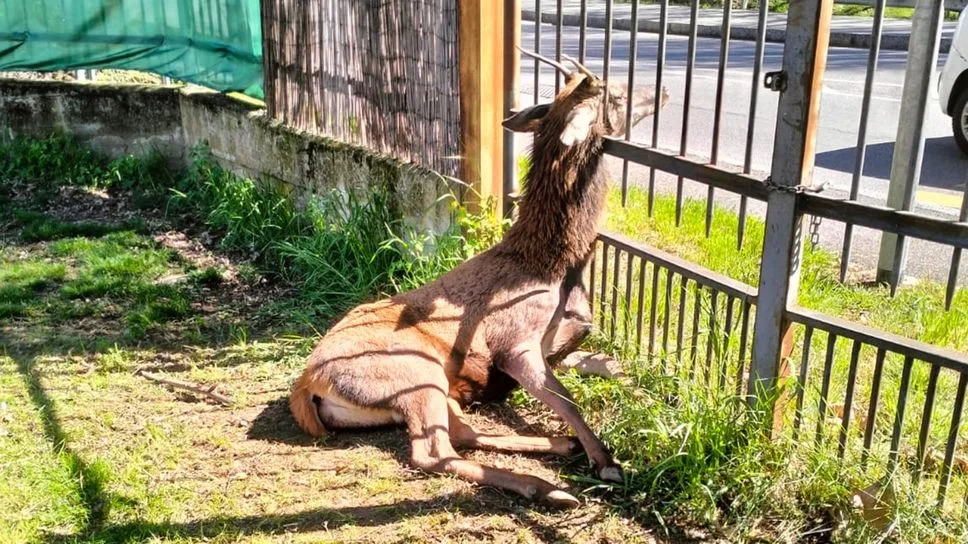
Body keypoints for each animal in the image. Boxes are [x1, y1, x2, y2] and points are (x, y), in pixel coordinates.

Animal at [289, 50, 670, 508]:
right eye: (613, 92)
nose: (663, 88)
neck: (556, 269)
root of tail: (306, 384)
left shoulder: (559, 343)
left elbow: (605, 366)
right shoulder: (515, 343)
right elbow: (568, 399)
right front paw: (607, 462)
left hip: (428, 390)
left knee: (463, 433)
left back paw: (559, 449)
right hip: (417, 373)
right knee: (433, 452)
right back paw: (547, 486)